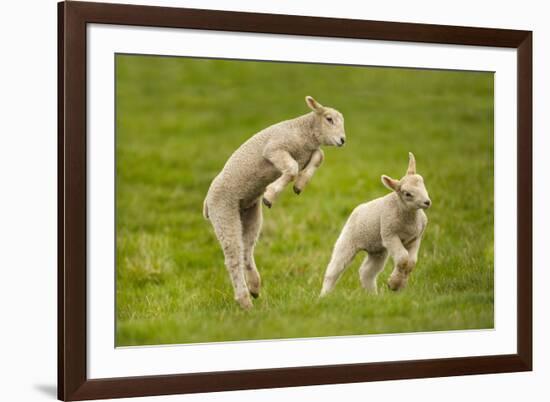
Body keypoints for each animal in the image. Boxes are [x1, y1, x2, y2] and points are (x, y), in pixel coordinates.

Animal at [205, 96, 348, 310]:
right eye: (329, 119)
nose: (342, 140)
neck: (303, 132)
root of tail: (206, 203)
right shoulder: (274, 149)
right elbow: (293, 167)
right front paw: (270, 194)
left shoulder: (308, 151)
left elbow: (318, 157)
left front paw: (299, 185)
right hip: (223, 211)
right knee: (233, 258)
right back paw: (245, 301)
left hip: (249, 213)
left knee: (246, 250)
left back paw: (255, 287)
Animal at [322, 152, 434, 296]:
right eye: (407, 194)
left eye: (423, 183)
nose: (427, 202)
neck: (409, 217)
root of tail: (357, 209)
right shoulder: (389, 235)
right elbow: (403, 258)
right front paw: (394, 283)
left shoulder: (415, 238)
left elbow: (411, 262)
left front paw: (398, 284)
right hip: (347, 240)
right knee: (334, 269)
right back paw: (324, 295)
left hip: (377, 250)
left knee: (367, 272)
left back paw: (373, 295)